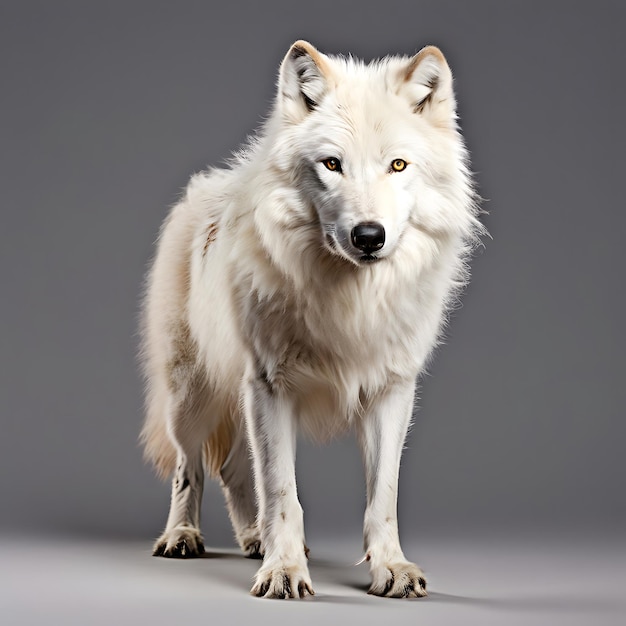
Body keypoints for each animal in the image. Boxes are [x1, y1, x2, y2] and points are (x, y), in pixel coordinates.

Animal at [140, 39, 478, 596]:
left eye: (398, 165)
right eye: (332, 164)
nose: (369, 236)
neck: (350, 301)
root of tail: (208, 183)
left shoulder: (392, 389)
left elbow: (382, 496)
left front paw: (391, 567)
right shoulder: (269, 386)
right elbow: (282, 490)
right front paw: (283, 571)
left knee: (233, 469)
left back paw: (253, 538)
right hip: (192, 395)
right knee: (191, 466)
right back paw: (183, 536)